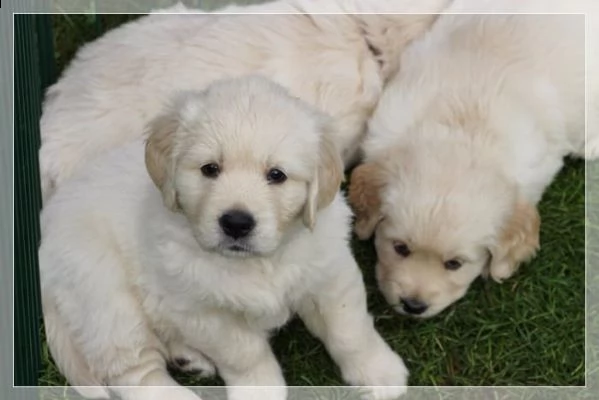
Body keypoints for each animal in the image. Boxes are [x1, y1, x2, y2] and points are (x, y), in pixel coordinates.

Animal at [39, 76, 410, 400]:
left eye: (276, 175)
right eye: (210, 169)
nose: (236, 223)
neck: (259, 262)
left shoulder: (330, 275)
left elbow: (350, 330)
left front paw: (380, 372)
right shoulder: (202, 309)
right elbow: (245, 353)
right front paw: (260, 392)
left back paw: (188, 357)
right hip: (107, 299)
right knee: (133, 371)